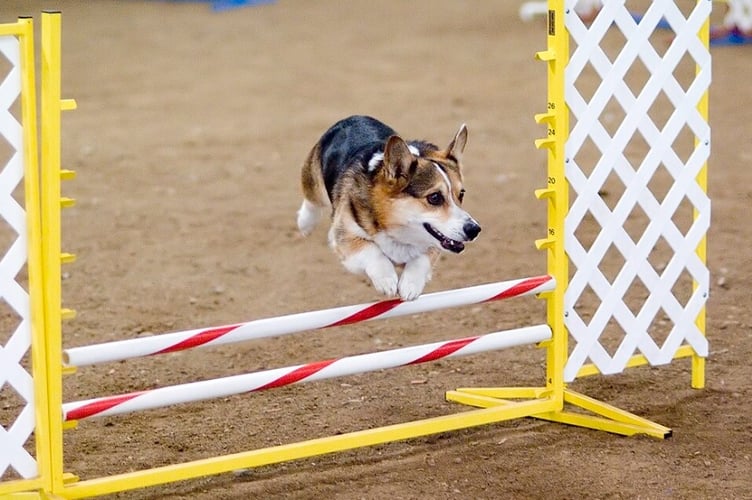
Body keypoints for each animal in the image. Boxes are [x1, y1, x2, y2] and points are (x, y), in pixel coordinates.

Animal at [296, 116, 478, 300]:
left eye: (461, 194)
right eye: (434, 197)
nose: (474, 230)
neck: (394, 224)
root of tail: (353, 118)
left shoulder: (435, 244)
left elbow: (421, 258)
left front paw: (410, 285)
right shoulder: (345, 239)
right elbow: (371, 250)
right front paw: (386, 280)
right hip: (314, 181)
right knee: (312, 200)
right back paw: (305, 223)